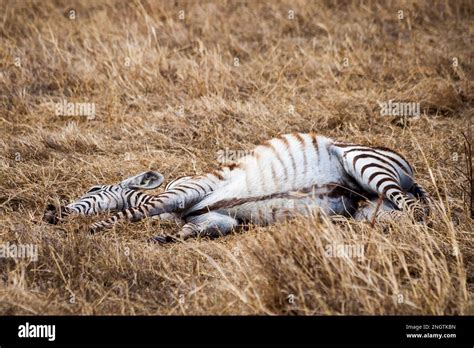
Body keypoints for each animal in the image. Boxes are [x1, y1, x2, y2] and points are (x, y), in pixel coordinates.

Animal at [43, 133, 430, 242]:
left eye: (93, 189)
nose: (50, 214)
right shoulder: (219, 220)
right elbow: (195, 231)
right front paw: (167, 237)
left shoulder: (187, 189)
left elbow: (136, 210)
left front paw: (94, 228)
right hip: (368, 208)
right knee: (389, 216)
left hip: (362, 162)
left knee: (417, 211)